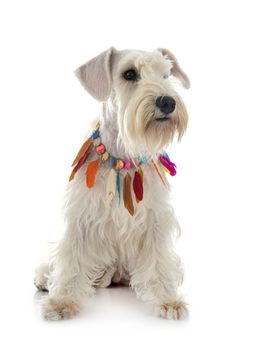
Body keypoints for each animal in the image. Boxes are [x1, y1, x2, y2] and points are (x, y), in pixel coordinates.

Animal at [33, 47, 190, 322]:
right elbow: (70, 261)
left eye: (166, 74)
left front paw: (167, 300)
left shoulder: (155, 220)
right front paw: (62, 301)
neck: (122, 156)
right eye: (129, 74)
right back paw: (44, 277)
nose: (168, 102)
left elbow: (159, 263)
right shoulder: (81, 219)